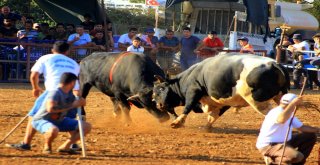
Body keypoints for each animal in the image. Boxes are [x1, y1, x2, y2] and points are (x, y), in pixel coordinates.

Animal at [152, 53, 290, 128]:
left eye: (160, 89)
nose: (158, 105)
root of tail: (273, 64)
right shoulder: (225, 102)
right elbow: (214, 115)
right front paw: (207, 127)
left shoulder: (194, 90)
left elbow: (188, 106)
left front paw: (177, 122)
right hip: (281, 96)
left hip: (257, 100)